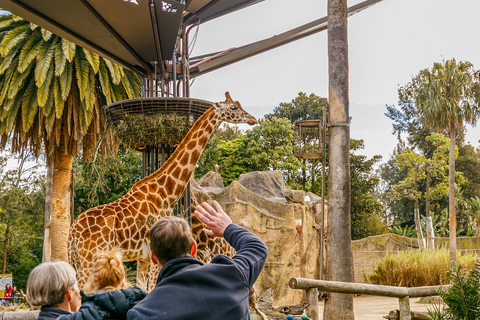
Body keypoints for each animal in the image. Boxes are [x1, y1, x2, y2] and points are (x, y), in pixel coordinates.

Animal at [68, 92, 258, 290]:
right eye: (233, 107)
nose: (254, 119)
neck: (166, 191)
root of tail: (72, 233)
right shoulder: (153, 251)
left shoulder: (143, 258)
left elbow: (143, 288)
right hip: (90, 259)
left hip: (78, 260)